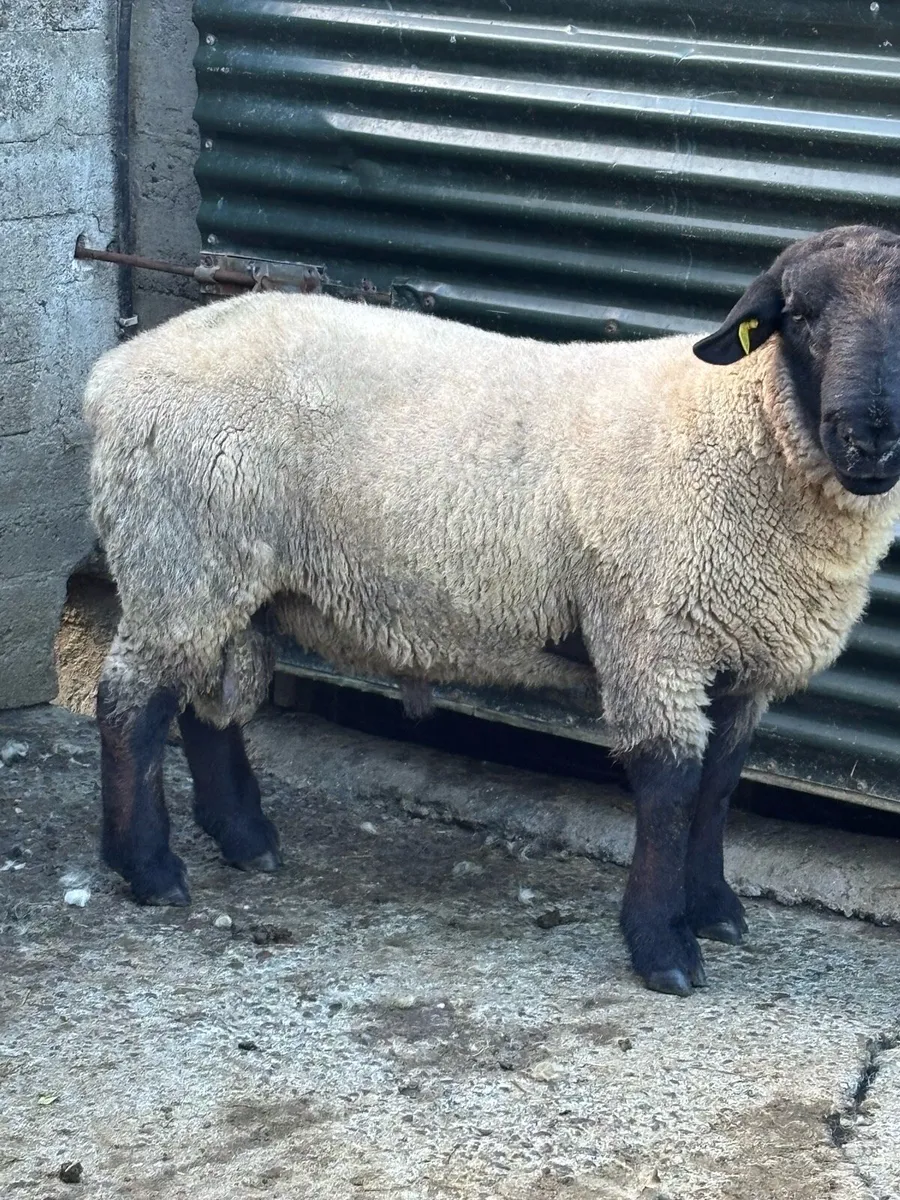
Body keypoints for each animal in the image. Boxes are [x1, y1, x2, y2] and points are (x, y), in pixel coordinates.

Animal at [84, 224, 900, 997]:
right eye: (799, 316)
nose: (870, 437)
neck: (740, 426)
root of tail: (112, 374)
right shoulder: (652, 639)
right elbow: (669, 790)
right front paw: (662, 948)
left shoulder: (741, 659)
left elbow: (720, 787)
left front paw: (714, 908)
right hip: (175, 555)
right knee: (130, 705)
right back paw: (148, 868)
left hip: (224, 574)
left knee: (204, 704)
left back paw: (245, 839)